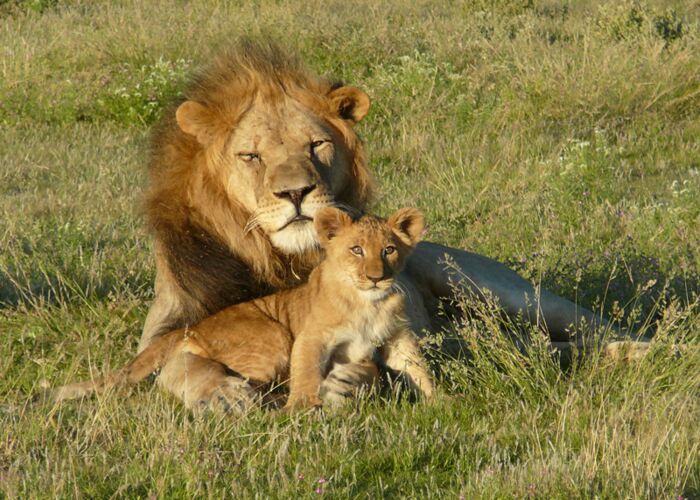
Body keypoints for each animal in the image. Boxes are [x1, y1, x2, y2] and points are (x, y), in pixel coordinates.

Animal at [44, 207, 434, 411]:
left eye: (388, 250)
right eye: (356, 250)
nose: (376, 277)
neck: (369, 303)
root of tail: (191, 327)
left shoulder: (397, 339)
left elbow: (417, 369)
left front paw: (440, 403)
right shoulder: (310, 338)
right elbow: (307, 373)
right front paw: (304, 408)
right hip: (273, 339)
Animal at [139, 40, 647, 411]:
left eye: (316, 145)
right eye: (251, 156)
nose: (296, 193)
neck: (285, 260)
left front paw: (346, 383)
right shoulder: (168, 328)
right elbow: (175, 365)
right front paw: (221, 393)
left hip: (501, 290)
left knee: (597, 326)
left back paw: (645, 349)